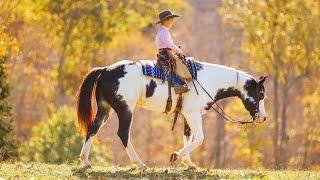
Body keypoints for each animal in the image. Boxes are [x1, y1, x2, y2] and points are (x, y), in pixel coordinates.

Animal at [76, 58, 266, 169]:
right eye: (261, 94)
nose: (263, 118)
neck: (207, 81)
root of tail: (105, 70)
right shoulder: (193, 114)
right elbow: (199, 138)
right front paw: (175, 156)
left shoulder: (188, 115)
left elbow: (188, 137)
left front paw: (189, 163)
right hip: (125, 109)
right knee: (123, 133)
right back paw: (139, 163)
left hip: (105, 109)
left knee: (93, 129)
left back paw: (85, 161)